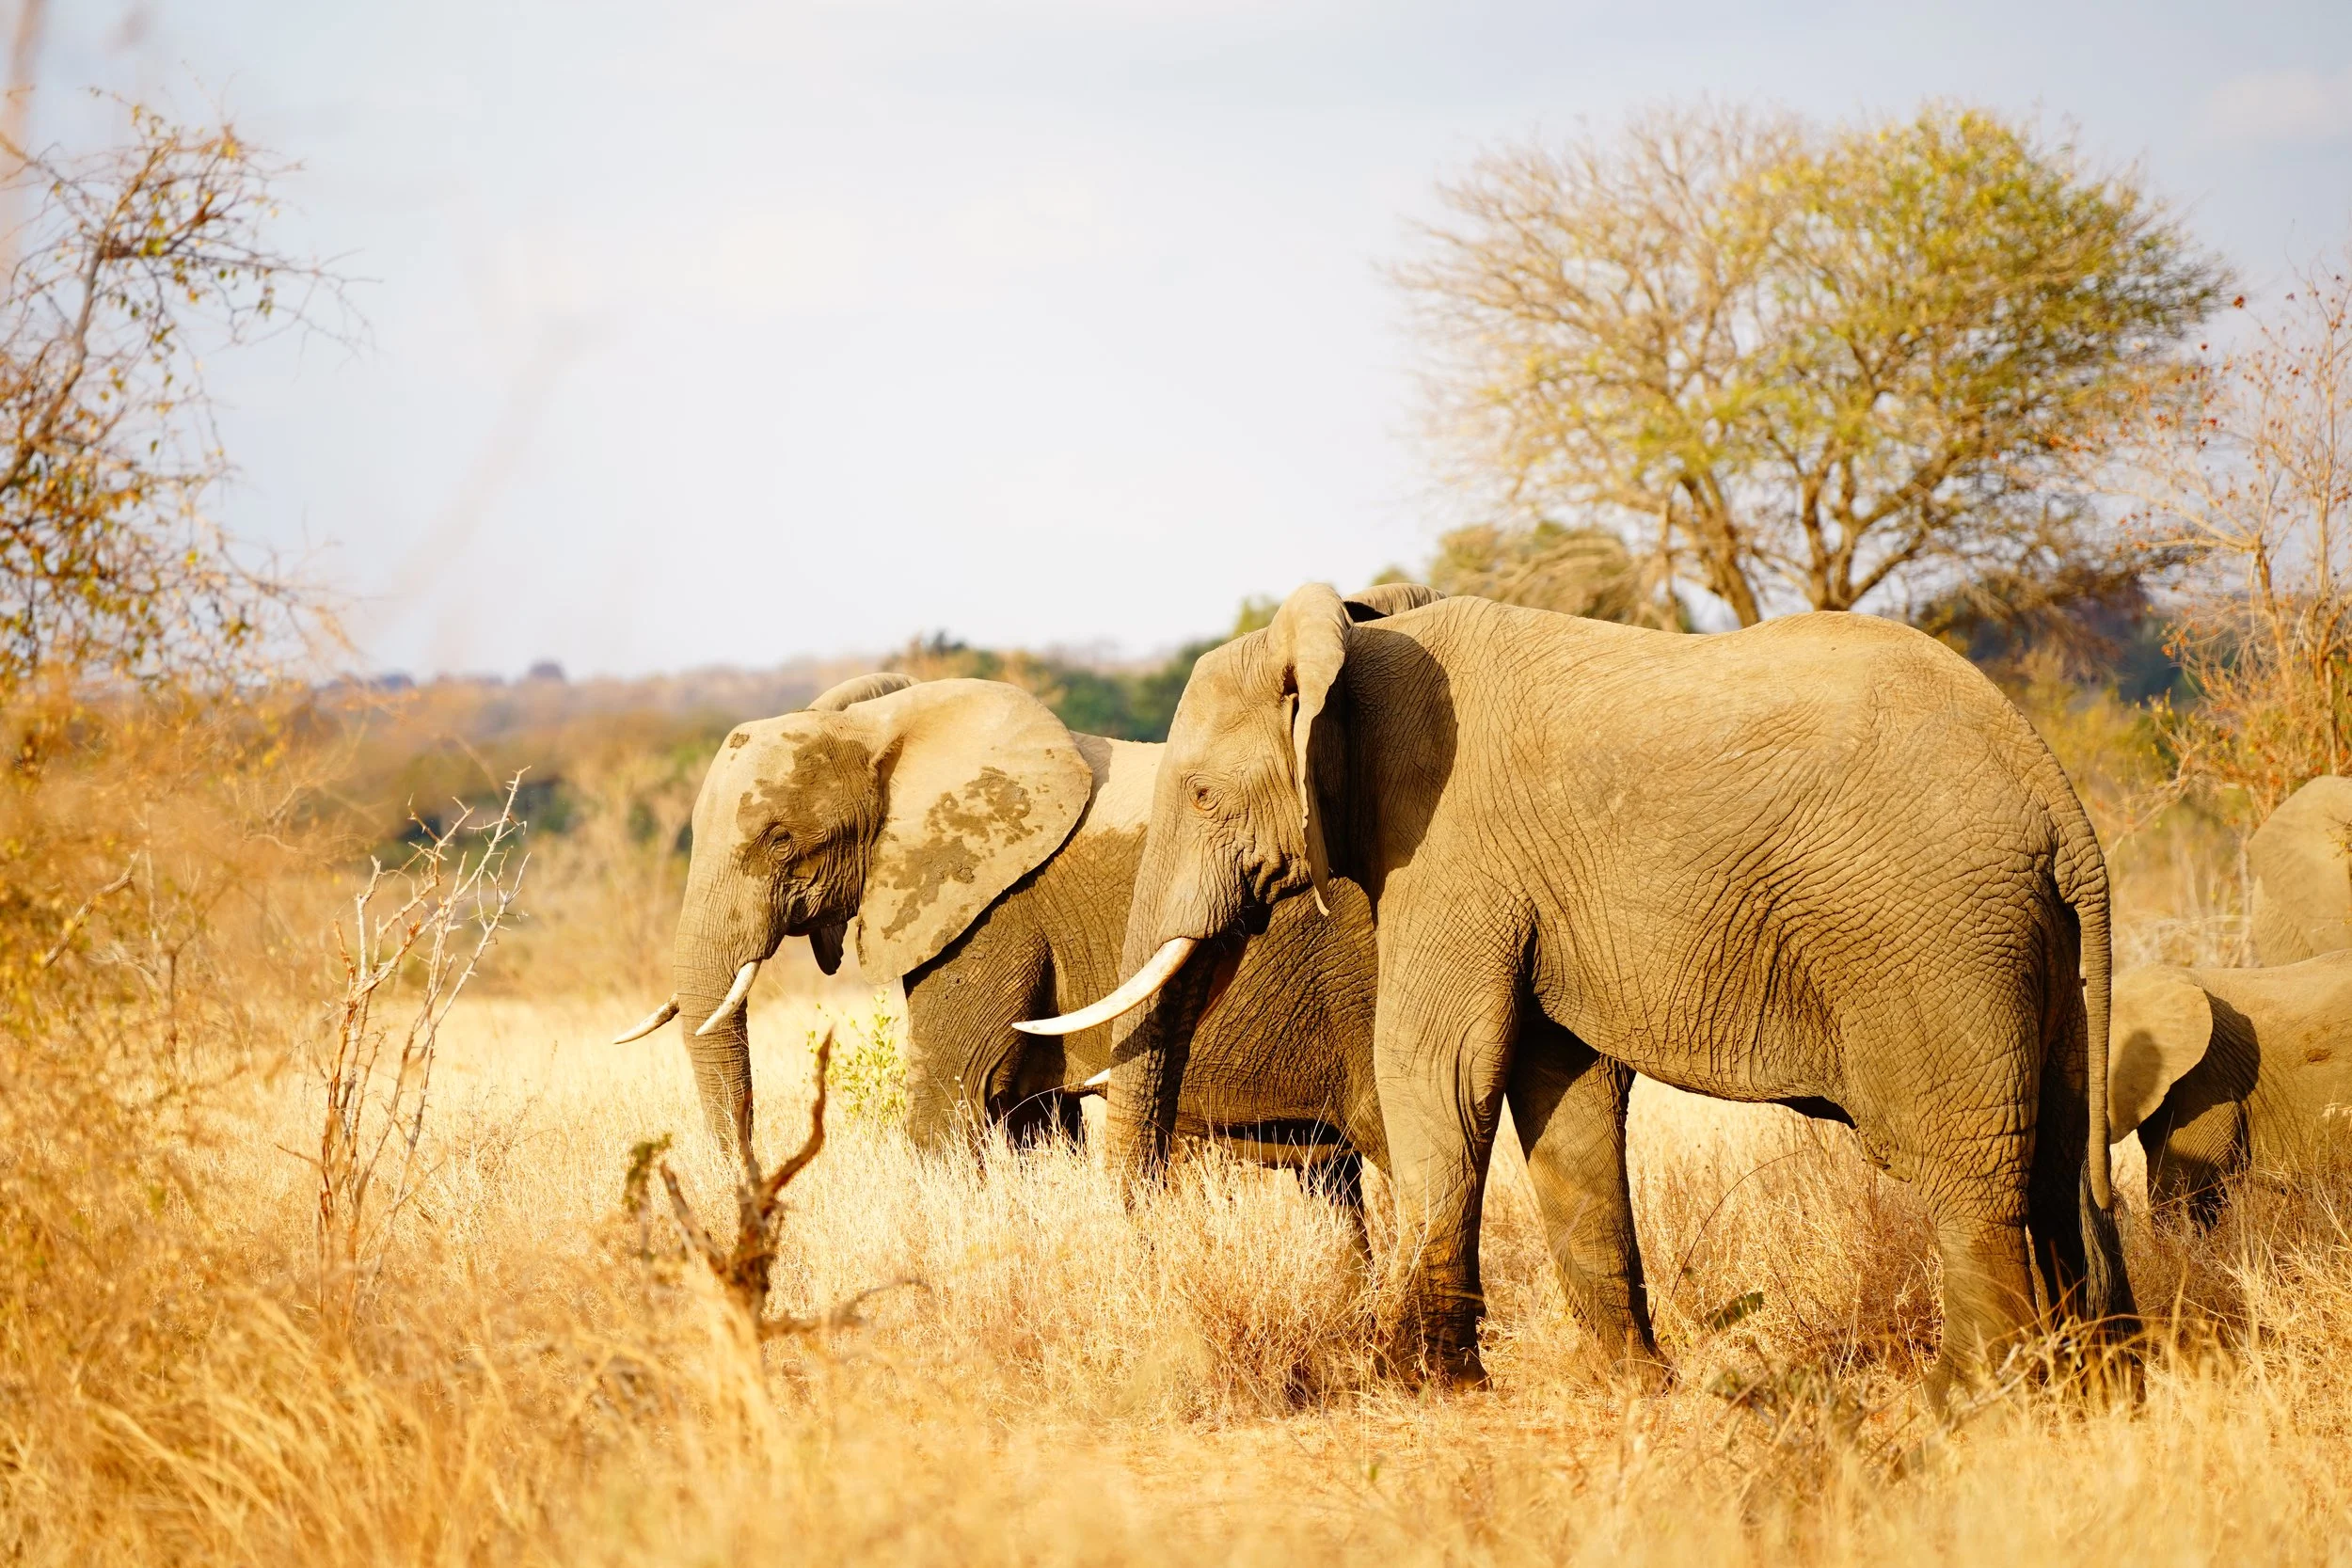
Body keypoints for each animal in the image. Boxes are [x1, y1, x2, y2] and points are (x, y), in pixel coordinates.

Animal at [611, 586, 1442, 1206]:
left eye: (780, 841)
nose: (747, 1186)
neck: (880, 730)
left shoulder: (997, 909)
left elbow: (953, 1099)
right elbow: (1030, 1117)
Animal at [1023, 583, 2136, 1399]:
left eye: (1204, 793)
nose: (1163, 1270)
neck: (1360, 639)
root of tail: (2059, 800)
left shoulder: (1454, 848)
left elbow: (1438, 1068)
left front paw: (1410, 1381)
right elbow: (1567, 1091)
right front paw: (1633, 1386)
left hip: (1931, 936)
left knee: (1962, 1169)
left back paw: (1967, 1397)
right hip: (2031, 952)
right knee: (2054, 1162)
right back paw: (2090, 1383)